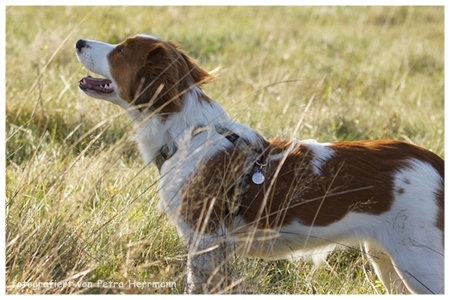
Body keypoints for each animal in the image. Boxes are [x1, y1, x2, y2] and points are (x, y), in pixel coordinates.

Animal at [75, 34, 444, 292]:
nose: (78, 42)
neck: (187, 134)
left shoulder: (205, 241)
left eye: (121, 51)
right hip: (386, 260)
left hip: (421, 263)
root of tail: (433, 160)